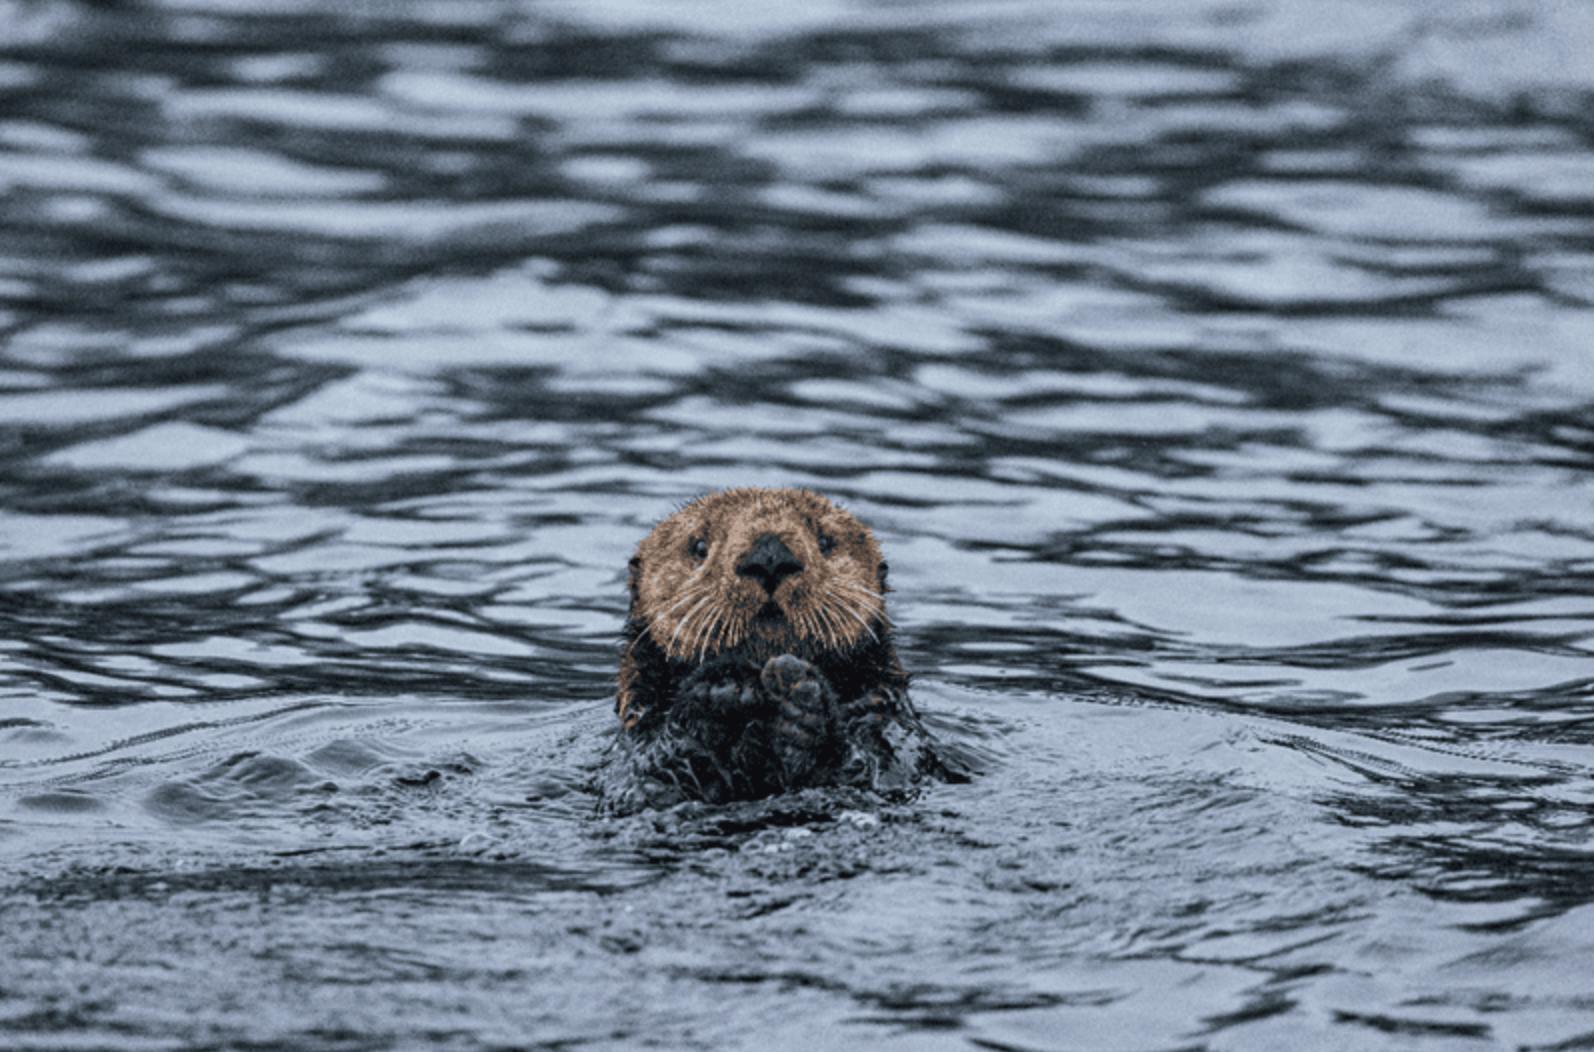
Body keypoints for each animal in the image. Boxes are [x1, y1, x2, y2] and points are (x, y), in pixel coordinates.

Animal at [604, 487, 940, 810]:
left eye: (825, 541)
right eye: (699, 546)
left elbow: (868, 765)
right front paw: (725, 687)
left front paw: (797, 697)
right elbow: (655, 778)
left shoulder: (892, 733)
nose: (770, 556)